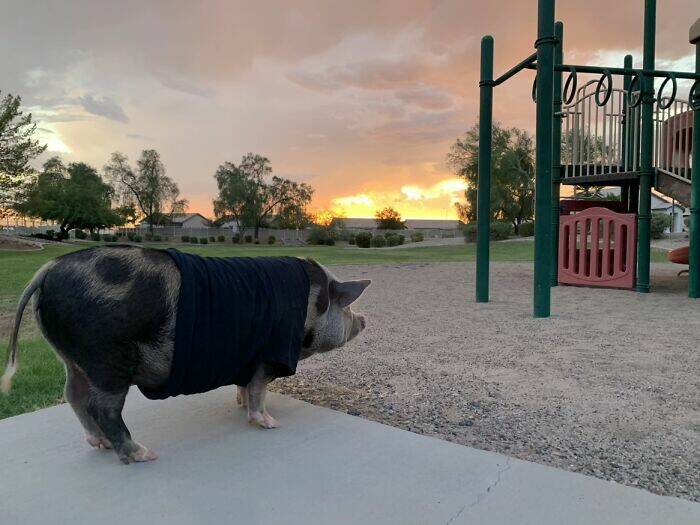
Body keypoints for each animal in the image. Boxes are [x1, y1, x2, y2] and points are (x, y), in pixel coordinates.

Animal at [1, 246, 369, 464]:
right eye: (346, 305)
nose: (364, 320)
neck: (310, 307)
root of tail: (49, 269)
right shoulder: (267, 354)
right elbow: (259, 391)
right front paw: (270, 423)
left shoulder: (248, 357)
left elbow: (246, 386)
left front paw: (239, 405)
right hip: (109, 359)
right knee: (101, 407)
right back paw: (144, 455)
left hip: (70, 357)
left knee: (72, 394)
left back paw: (99, 444)